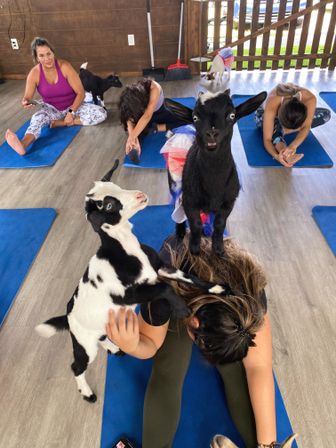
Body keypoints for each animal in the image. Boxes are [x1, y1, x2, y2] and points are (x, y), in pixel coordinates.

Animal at [34, 160, 228, 402]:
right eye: (108, 206)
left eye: (117, 186)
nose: (139, 195)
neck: (125, 250)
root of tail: (68, 314)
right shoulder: (128, 294)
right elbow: (163, 287)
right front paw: (182, 309)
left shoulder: (160, 267)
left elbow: (187, 276)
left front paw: (218, 287)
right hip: (84, 345)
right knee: (76, 366)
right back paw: (87, 393)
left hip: (98, 329)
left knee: (101, 338)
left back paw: (113, 348)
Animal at [177, 89, 266, 256]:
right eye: (195, 117)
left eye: (231, 115)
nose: (212, 133)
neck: (214, 185)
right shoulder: (189, 200)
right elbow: (195, 223)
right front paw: (195, 248)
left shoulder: (229, 201)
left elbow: (220, 224)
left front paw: (218, 248)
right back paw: (179, 233)